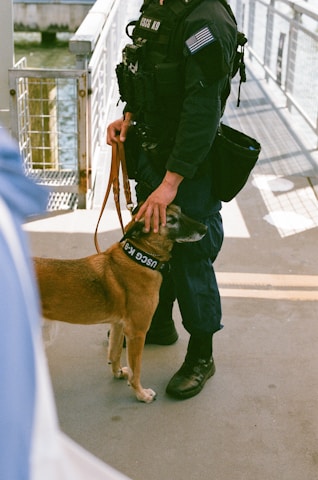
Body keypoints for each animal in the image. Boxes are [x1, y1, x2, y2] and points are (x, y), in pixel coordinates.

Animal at [34, 204, 206, 404]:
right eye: (170, 220)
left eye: (181, 211)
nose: (205, 229)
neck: (140, 257)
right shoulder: (137, 333)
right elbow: (136, 369)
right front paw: (141, 394)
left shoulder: (118, 325)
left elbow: (114, 353)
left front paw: (118, 373)